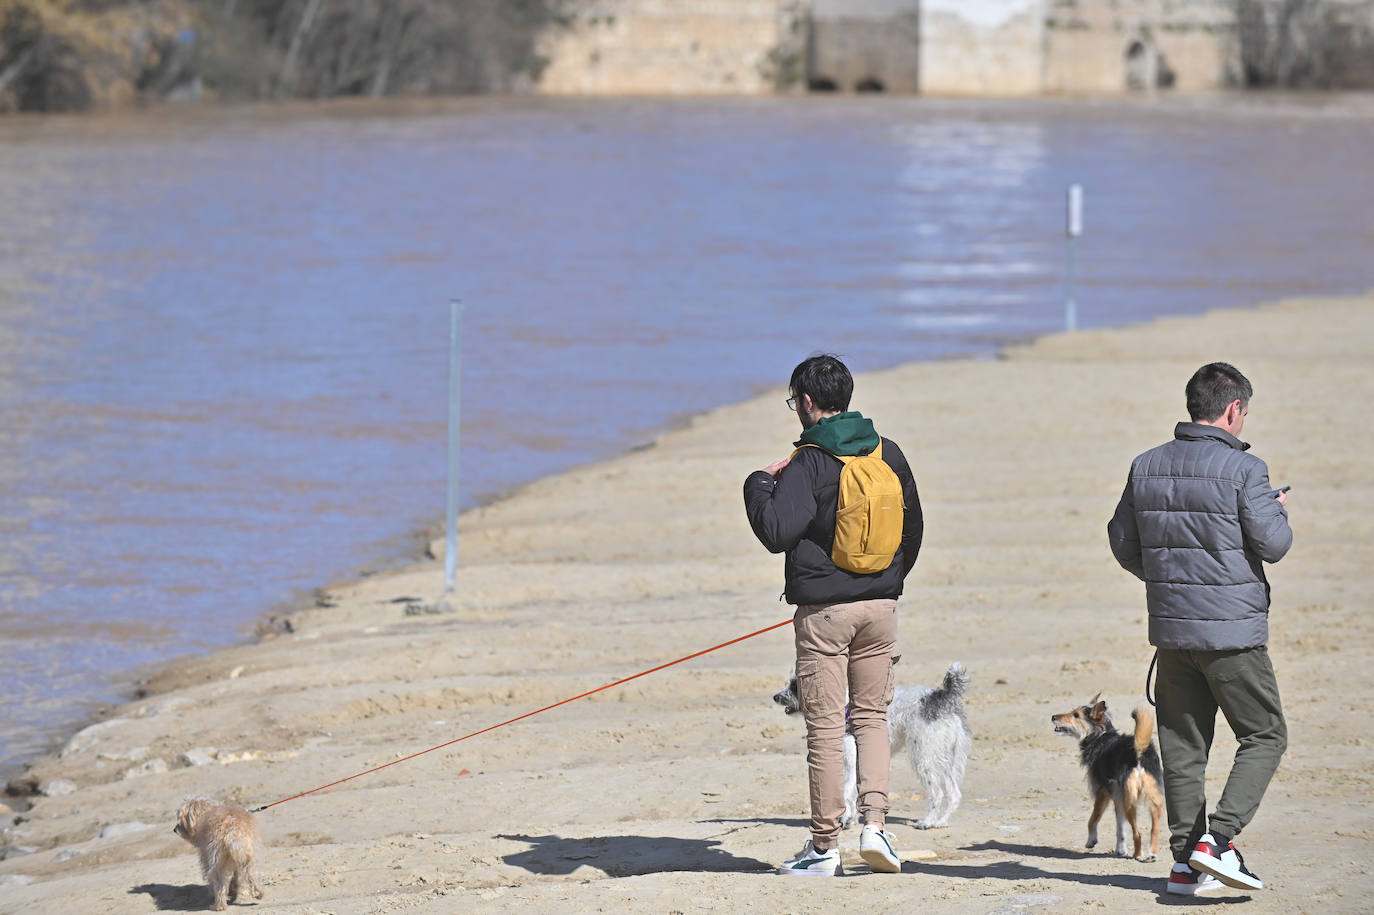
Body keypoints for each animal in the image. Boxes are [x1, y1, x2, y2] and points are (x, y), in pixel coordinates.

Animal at [774, 656, 978, 824]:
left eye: (795, 686)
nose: (775, 696)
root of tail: (941, 696)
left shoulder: (851, 761)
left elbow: (846, 792)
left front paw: (846, 819)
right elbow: (852, 793)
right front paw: (851, 819)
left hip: (924, 757)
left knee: (937, 793)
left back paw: (927, 822)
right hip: (943, 756)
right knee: (954, 793)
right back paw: (940, 822)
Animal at [1055, 695, 1165, 857]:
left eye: (1076, 715)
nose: (1053, 717)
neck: (1099, 736)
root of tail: (1138, 753)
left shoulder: (1102, 791)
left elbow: (1093, 818)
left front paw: (1091, 841)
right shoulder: (1117, 795)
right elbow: (1120, 827)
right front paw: (1121, 849)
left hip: (1129, 801)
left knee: (1138, 833)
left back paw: (1138, 855)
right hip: (1152, 799)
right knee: (1154, 829)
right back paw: (1151, 854)